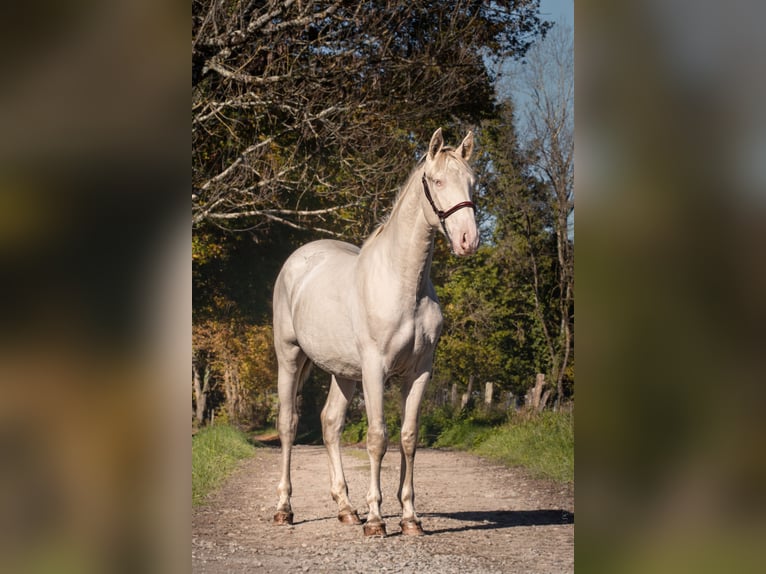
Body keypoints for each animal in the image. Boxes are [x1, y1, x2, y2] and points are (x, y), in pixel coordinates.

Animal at [272, 128, 480, 536]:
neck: (403, 284)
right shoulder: (374, 370)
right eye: (436, 181)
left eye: (472, 182)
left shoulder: (419, 372)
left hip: (342, 372)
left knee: (330, 423)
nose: (468, 239)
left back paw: (345, 508)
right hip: (290, 356)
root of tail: (299, 258)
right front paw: (376, 519)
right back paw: (285, 509)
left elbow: (409, 438)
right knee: (288, 425)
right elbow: (377, 438)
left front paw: (410, 518)